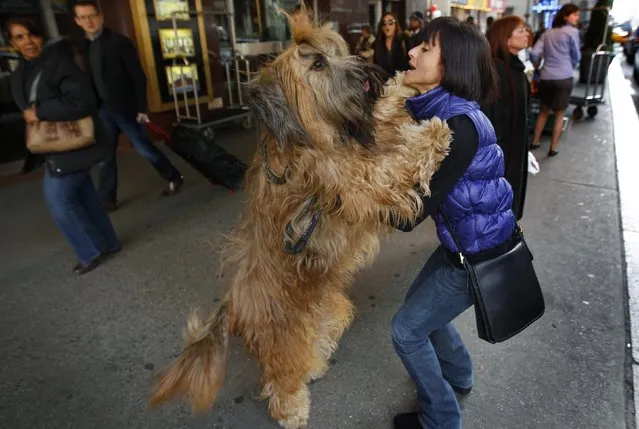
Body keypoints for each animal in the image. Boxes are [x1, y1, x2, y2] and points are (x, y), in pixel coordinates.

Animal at [149, 21, 450, 426]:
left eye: (339, 51)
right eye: (319, 64)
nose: (370, 72)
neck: (313, 139)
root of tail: (233, 303)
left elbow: (384, 121)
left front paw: (403, 85)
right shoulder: (360, 181)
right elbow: (394, 165)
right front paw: (433, 133)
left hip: (328, 307)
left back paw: (317, 360)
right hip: (281, 335)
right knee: (279, 375)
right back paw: (291, 407)